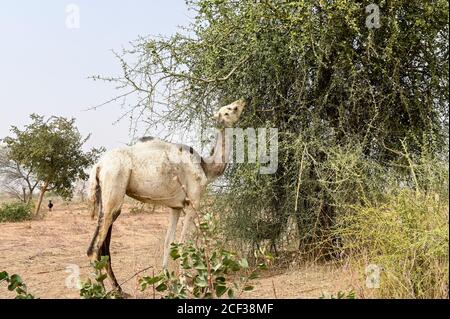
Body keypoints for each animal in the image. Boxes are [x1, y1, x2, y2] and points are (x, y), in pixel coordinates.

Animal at [85, 99, 244, 292]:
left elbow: (169, 241)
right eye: (229, 110)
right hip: (114, 185)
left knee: (103, 246)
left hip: (106, 197)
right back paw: (104, 290)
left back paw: (119, 290)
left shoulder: (175, 207)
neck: (206, 167)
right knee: (94, 248)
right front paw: (185, 283)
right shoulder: (193, 202)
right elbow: (183, 242)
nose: (242, 101)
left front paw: (166, 279)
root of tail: (98, 166)